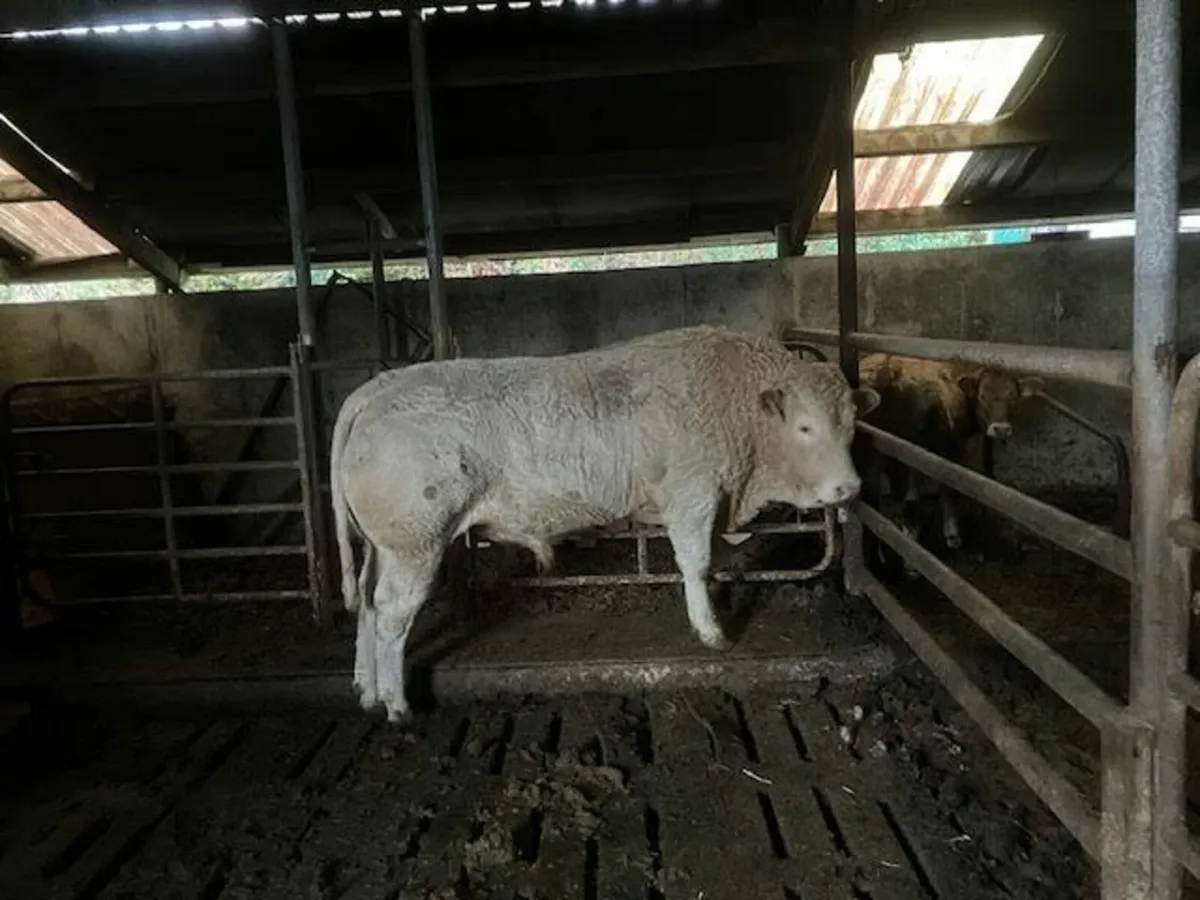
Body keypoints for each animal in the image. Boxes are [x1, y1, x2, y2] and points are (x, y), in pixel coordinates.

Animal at [331, 325, 881, 721]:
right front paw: (711, 631)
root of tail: (377, 388)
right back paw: (396, 704)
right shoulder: (693, 494)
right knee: (392, 611)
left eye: (852, 427)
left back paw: (366, 688)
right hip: (415, 543)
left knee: (368, 601)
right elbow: (696, 563)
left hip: (382, 546)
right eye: (805, 427)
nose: (848, 488)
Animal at [858, 353, 1043, 572]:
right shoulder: (951, 448)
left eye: (1013, 397)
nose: (1001, 429)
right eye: (982, 396)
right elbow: (948, 488)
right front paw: (952, 534)